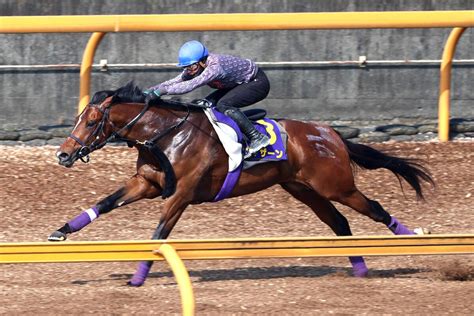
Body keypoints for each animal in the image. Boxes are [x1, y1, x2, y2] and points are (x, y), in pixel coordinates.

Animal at [51, 82, 434, 286]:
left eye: (92, 121)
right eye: (79, 118)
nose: (64, 154)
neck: (166, 134)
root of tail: (331, 134)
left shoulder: (181, 194)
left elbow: (159, 235)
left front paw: (138, 277)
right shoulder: (146, 183)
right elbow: (104, 203)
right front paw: (60, 232)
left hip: (335, 186)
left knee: (375, 209)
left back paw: (414, 235)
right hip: (304, 190)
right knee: (340, 224)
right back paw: (360, 269)